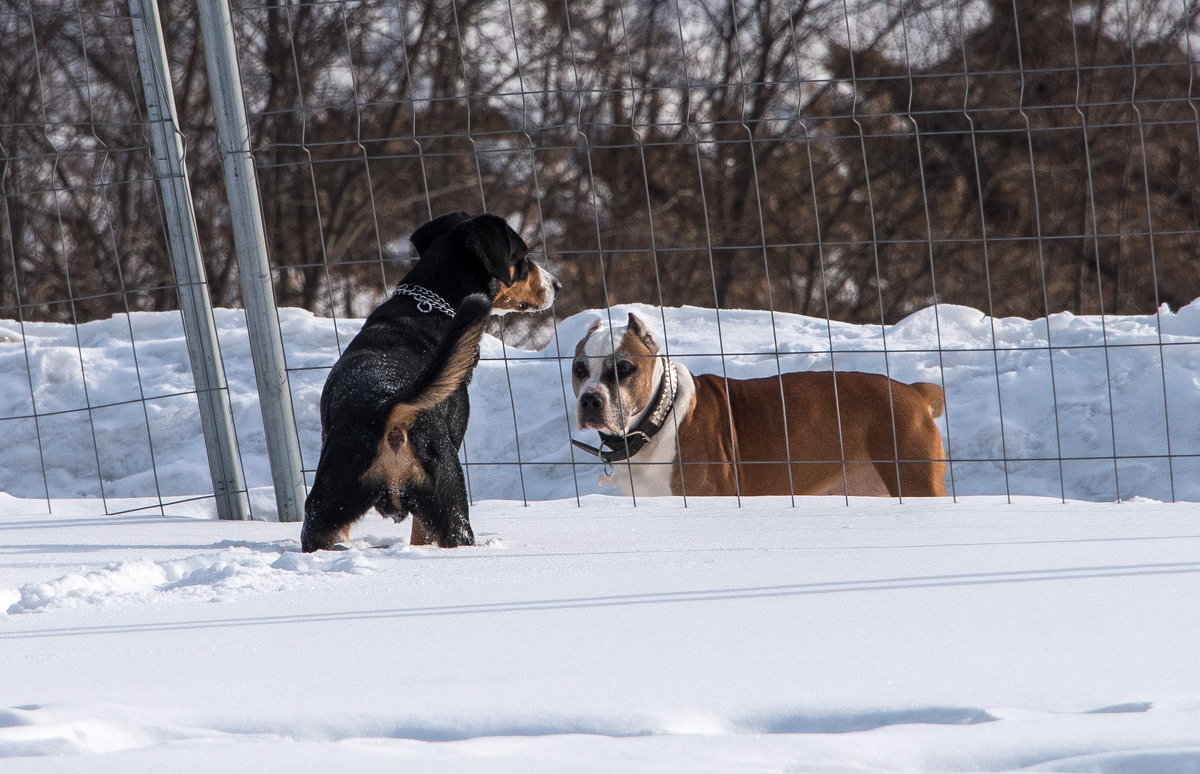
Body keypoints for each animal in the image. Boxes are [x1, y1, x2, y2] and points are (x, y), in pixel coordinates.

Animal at [302, 211, 559, 549]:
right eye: (524, 255)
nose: (557, 284)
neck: (428, 308)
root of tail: (388, 405)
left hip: (324, 511)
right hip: (450, 502)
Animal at [568, 312, 945, 494]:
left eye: (624, 368)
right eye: (579, 370)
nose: (590, 400)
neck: (657, 420)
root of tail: (914, 391)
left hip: (915, 479)